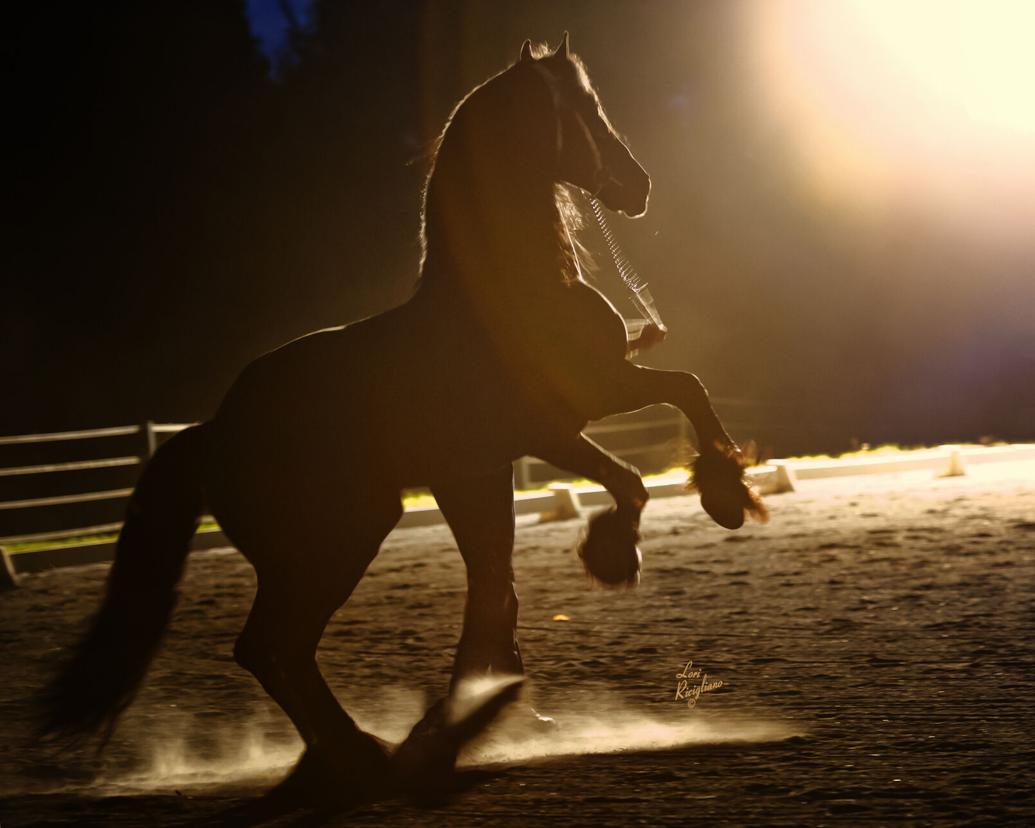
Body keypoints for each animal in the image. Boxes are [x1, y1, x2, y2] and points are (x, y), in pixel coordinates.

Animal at [42, 34, 764, 800]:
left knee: (283, 650)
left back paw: (359, 752)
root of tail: (213, 433)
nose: (638, 186)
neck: (509, 292)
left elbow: (502, 583)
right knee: (271, 647)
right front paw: (657, 533)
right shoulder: (567, 414)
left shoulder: (504, 455)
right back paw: (363, 757)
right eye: (585, 110)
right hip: (340, 538)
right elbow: (655, 438)